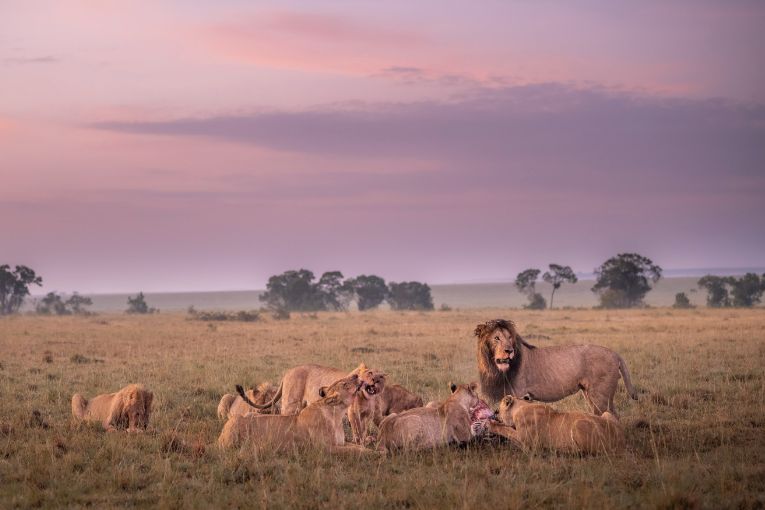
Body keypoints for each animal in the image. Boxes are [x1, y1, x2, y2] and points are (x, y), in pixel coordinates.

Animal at [216, 372, 374, 456]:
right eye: (344, 384)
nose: (356, 375)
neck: (336, 415)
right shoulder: (324, 448)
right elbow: (354, 451)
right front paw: (376, 454)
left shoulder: (341, 442)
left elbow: (357, 447)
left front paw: (371, 449)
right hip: (236, 423)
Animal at [474, 318, 636, 414]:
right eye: (496, 338)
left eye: (509, 338)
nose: (509, 351)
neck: (494, 369)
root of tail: (615, 353)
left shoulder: (518, 394)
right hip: (590, 394)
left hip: (600, 395)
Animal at [486, 394, 624, 454]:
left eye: (497, 411)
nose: (494, 413)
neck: (522, 405)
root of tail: (621, 440)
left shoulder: (528, 444)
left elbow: (505, 429)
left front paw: (490, 424)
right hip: (606, 413)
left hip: (578, 424)